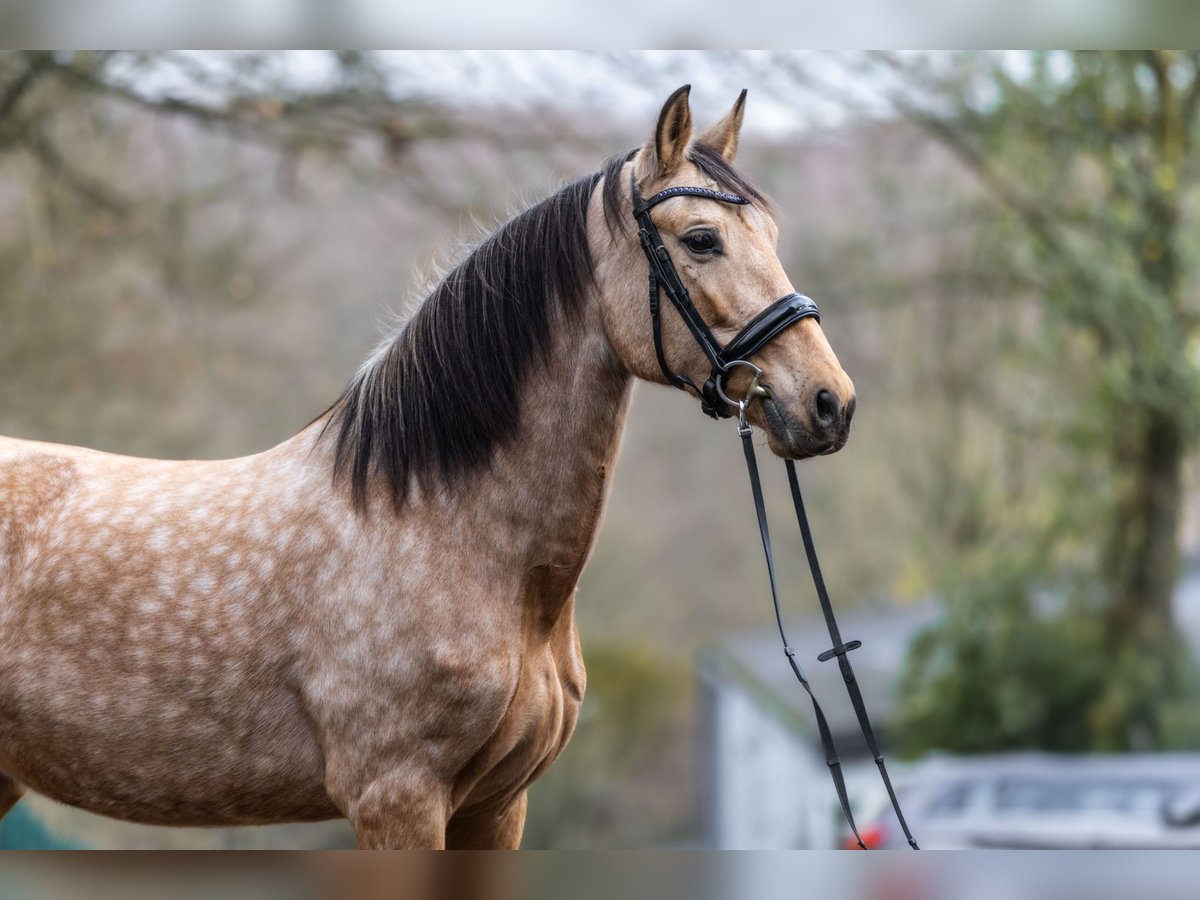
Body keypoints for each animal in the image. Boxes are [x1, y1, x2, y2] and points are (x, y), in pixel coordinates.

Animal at [4, 88, 859, 849]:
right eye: (702, 239)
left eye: (771, 232)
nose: (830, 403)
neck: (444, 527)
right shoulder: (398, 799)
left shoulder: (497, 807)